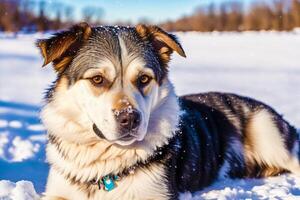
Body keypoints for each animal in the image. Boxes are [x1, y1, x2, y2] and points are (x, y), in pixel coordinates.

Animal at [37, 22, 300, 199]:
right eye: (98, 79)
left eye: (143, 78)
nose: (129, 118)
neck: (106, 167)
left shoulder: (155, 193)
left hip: (267, 131)